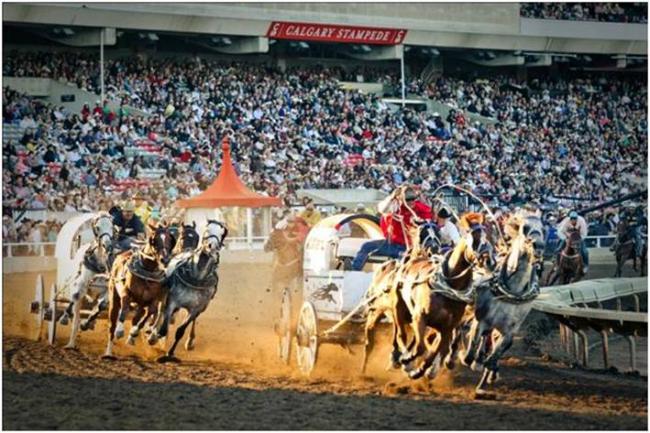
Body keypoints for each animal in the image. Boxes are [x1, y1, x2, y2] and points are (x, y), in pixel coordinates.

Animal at [59, 211, 115, 350]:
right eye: (98, 227)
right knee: (73, 300)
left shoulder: (106, 291)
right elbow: (76, 313)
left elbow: (101, 306)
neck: (99, 265)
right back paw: (65, 317)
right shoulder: (80, 287)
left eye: (112, 227)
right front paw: (70, 344)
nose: (108, 245)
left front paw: (86, 323)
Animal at [102, 223, 170, 358]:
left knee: (139, 316)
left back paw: (133, 336)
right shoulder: (126, 293)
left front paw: (134, 333)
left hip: (142, 304)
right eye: (154, 240)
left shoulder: (152, 300)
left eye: (170, 239)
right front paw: (120, 330)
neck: (147, 271)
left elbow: (149, 313)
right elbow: (124, 310)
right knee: (112, 324)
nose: (164, 260)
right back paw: (108, 352)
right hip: (114, 296)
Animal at [153, 219, 228, 362]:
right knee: (161, 312)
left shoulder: (196, 308)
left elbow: (180, 331)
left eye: (222, 234)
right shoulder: (172, 301)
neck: (197, 277)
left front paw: (170, 353)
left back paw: (190, 341)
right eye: (207, 230)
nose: (211, 247)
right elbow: (164, 328)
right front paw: (155, 338)